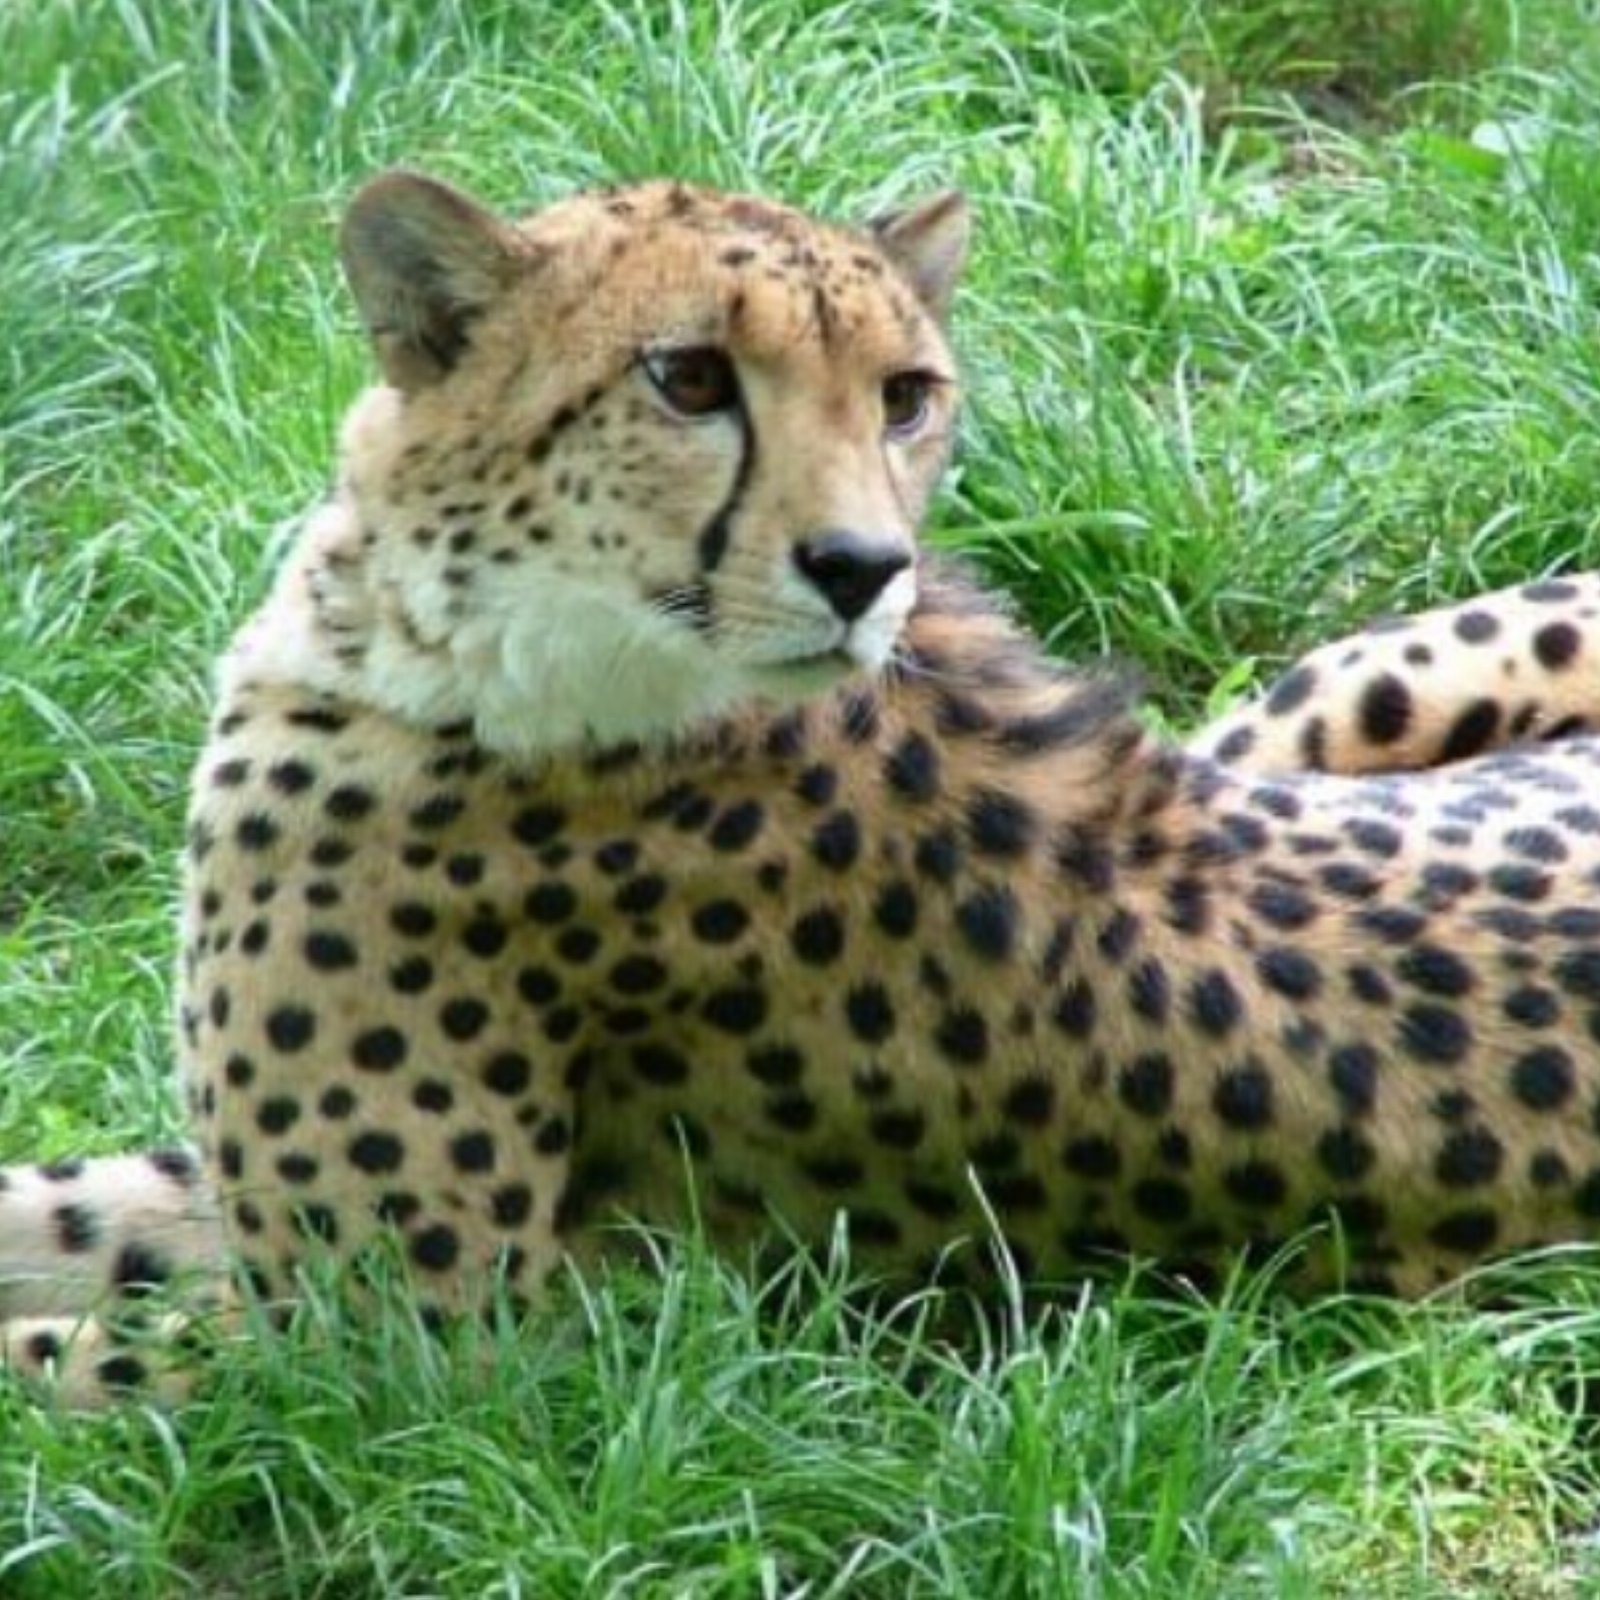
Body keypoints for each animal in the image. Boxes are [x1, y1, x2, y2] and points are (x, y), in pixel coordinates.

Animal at [7, 167, 1600, 1407]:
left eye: (904, 397)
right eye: (689, 378)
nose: (863, 568)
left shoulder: (413, 1340)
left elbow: (56, 1374)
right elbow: (65, 1206)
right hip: (1314, 705)